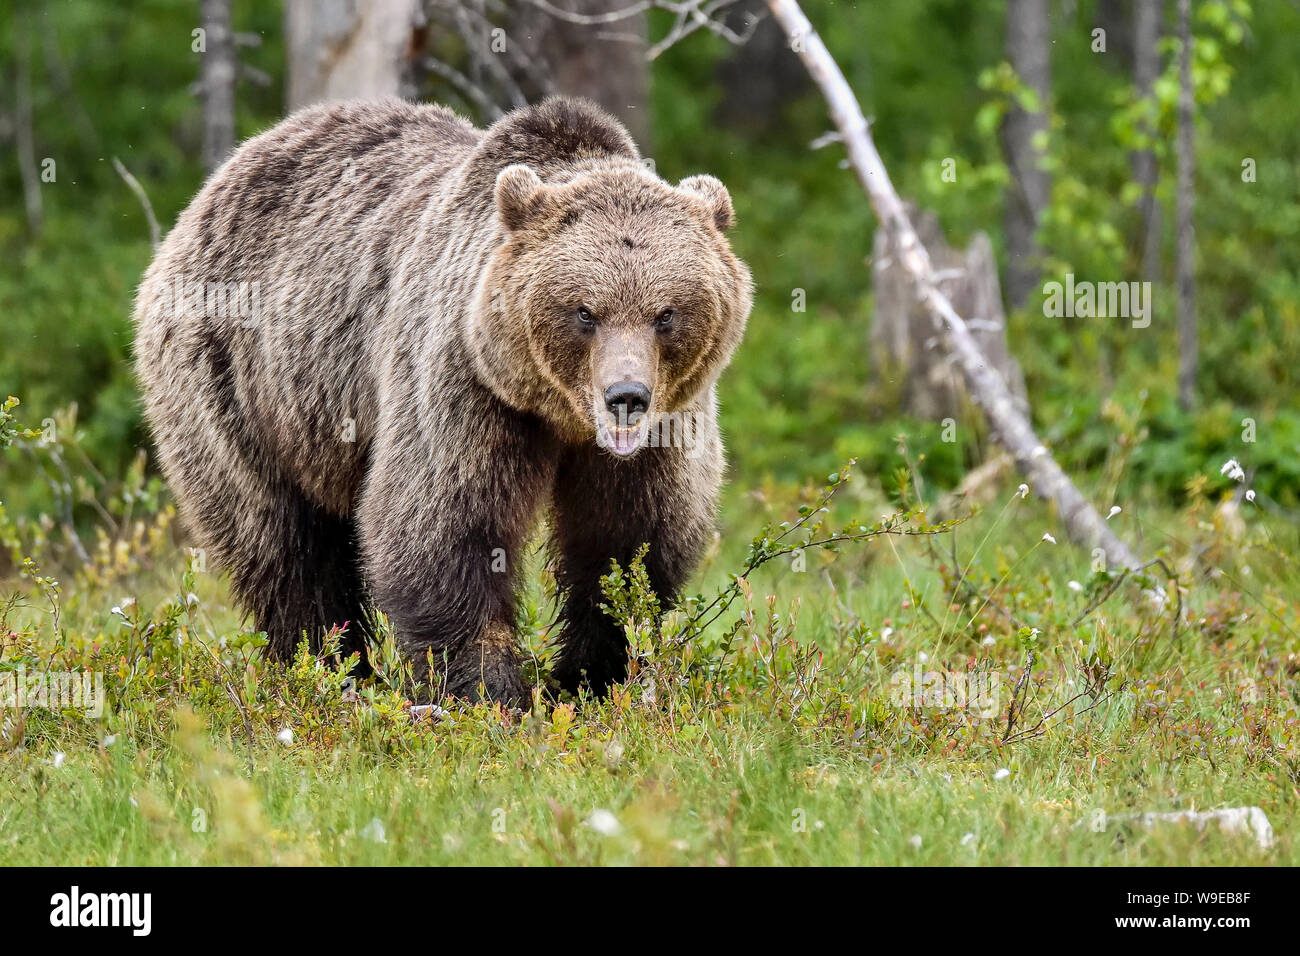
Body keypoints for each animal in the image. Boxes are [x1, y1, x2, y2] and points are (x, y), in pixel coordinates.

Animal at [134, 97, 754, 707]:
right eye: (585, 312)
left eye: (665, 313)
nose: (625, 396)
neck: (560, 417)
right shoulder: (464, 383)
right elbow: (446, 525)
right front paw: (489, 690)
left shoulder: (665, 427)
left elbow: (629, 541)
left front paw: (593, 676)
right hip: (234, 381)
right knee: (282, 541)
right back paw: (326, 670)